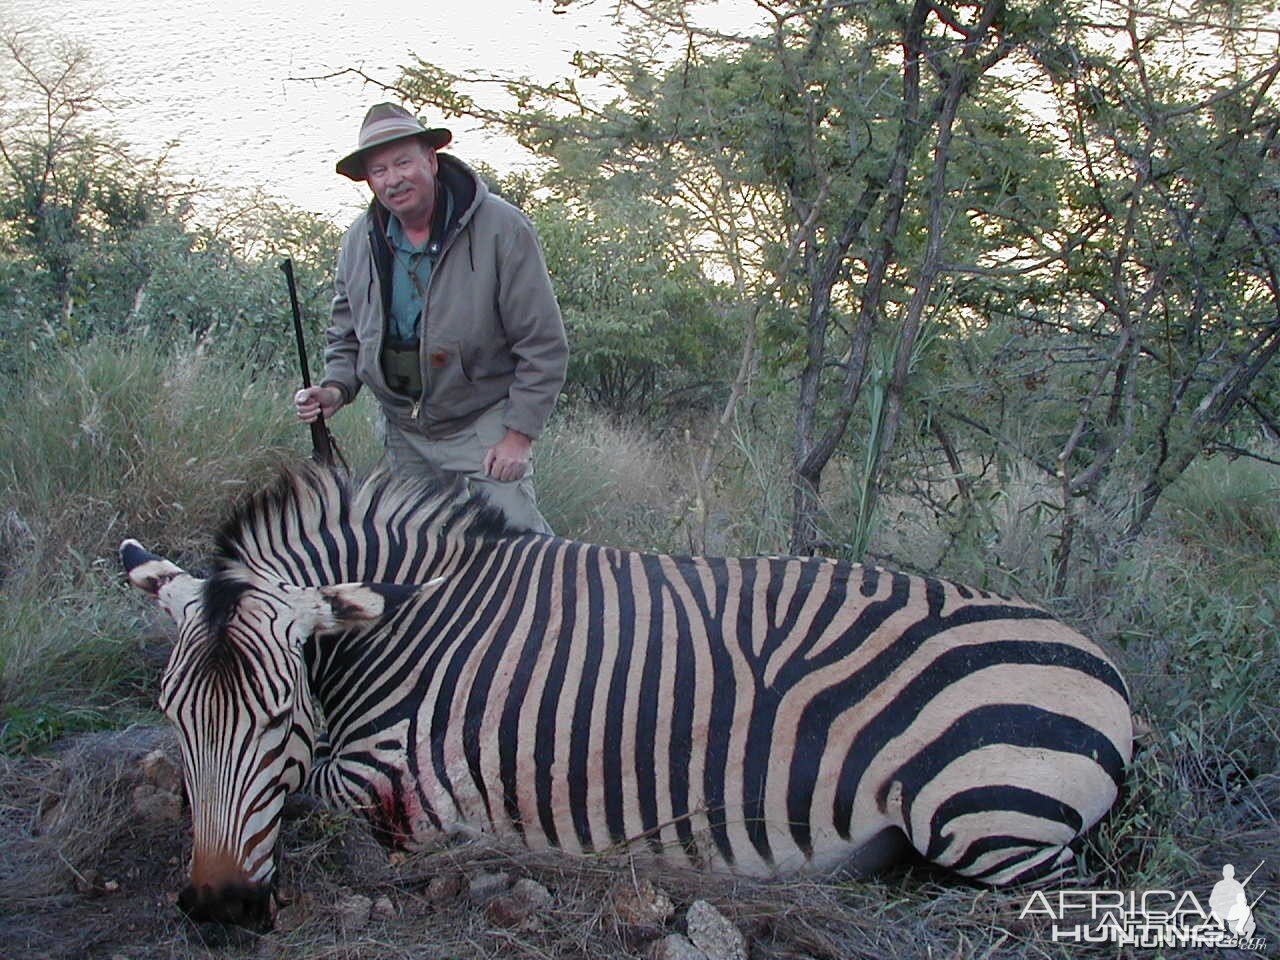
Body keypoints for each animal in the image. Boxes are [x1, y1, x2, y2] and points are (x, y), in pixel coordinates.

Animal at [122, 465, 1131, 931]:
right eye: (176, 715)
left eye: (279, 719)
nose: (215, 907)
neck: (414, 619)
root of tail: (1108, 669)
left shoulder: (414, 778)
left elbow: (313, 793)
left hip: (984, 823)